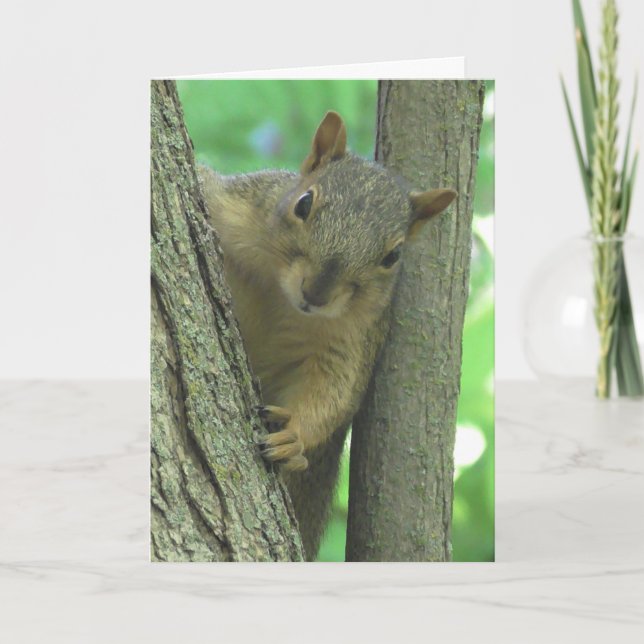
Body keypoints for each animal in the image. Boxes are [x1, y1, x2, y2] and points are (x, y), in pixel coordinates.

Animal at [198, 112, 456, 560]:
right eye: (304, 203)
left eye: (393, 256)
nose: (316, 293)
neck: (280, 295)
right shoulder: (234, 205)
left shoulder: (353, 340)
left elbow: (332, 394)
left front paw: (293, 440)